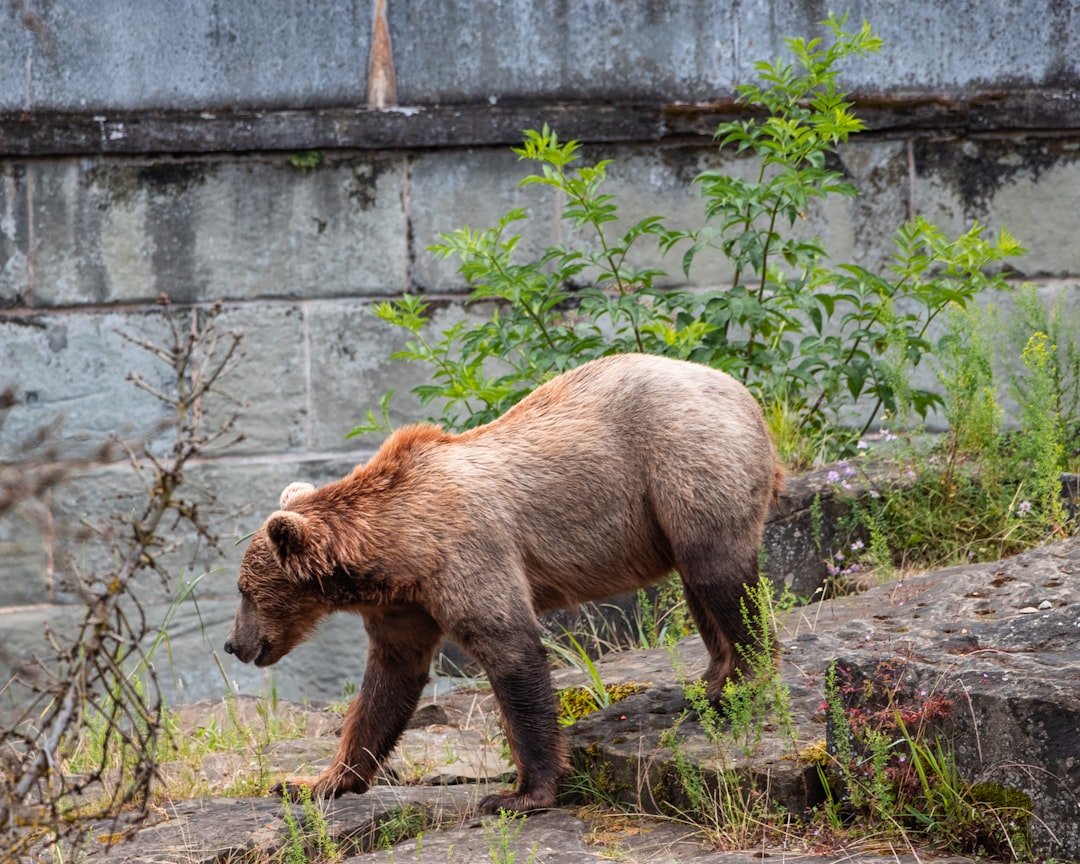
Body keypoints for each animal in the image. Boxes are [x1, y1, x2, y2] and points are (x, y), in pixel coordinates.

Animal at [225, 353, 784, 814]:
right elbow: (387, 685)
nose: (234, 644)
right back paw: (714, 680)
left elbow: (512, 653)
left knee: (719, 575)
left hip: (687, 465)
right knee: (699, 586)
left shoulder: (466, 555)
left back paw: (747, 677)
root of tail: (743, 392)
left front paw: (520, 793)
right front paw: (313, 781)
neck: (397, 549)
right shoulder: (407, 605)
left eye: (245, 591)